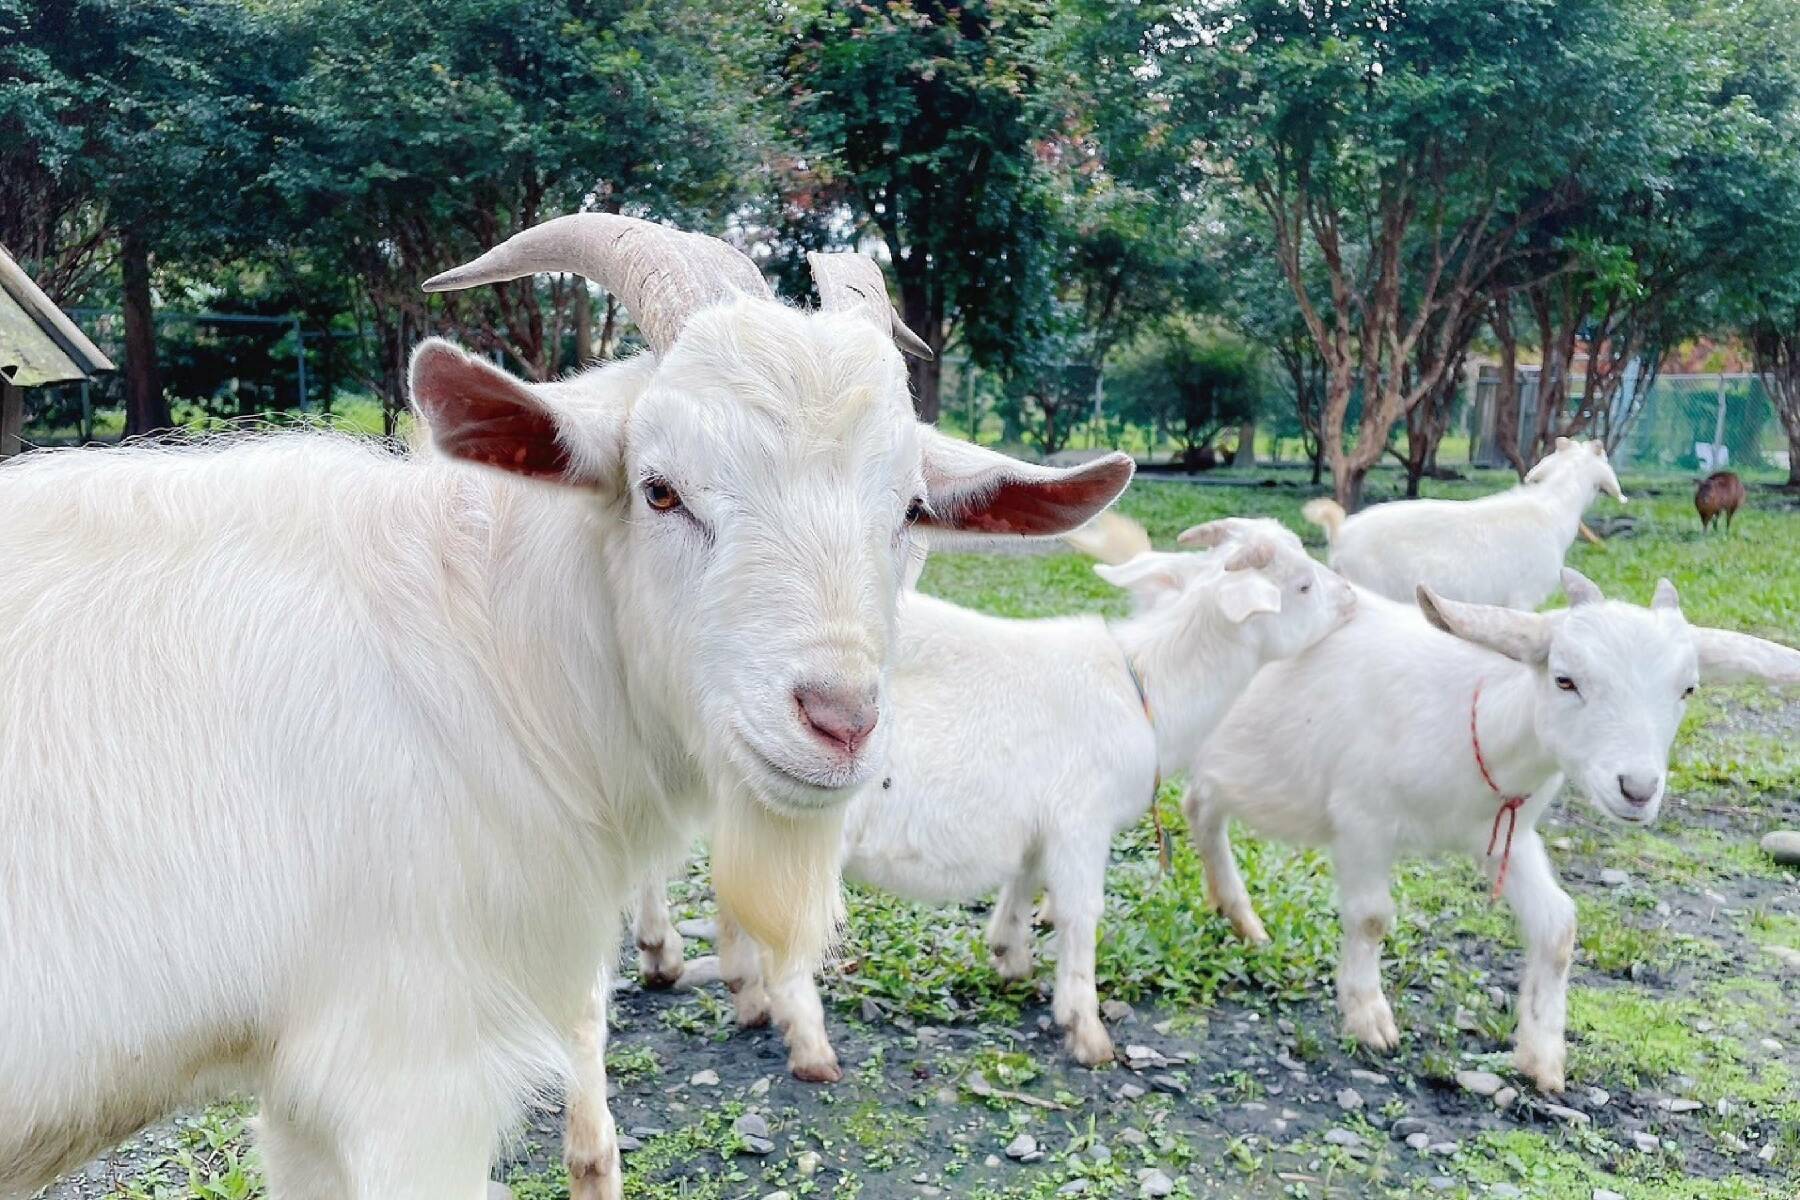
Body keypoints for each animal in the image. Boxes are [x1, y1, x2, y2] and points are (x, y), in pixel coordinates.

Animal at [0, 215, 1123, 1200]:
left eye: (911, 510)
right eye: (659, 490)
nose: (839, 719)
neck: (474, 644)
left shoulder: (303, 1088)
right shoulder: (411, 1068)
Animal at [1180, 568, 1800, 1093]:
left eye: (1688, 689)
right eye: (1565, 679)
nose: (1638, 789)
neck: (1474, 716)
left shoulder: (1507, 835)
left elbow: (1559, 926)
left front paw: (1542, 1056)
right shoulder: (1361, 820)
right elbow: (1373, 917)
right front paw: (1368, 1018)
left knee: (1201, 805)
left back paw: (1239, 915)